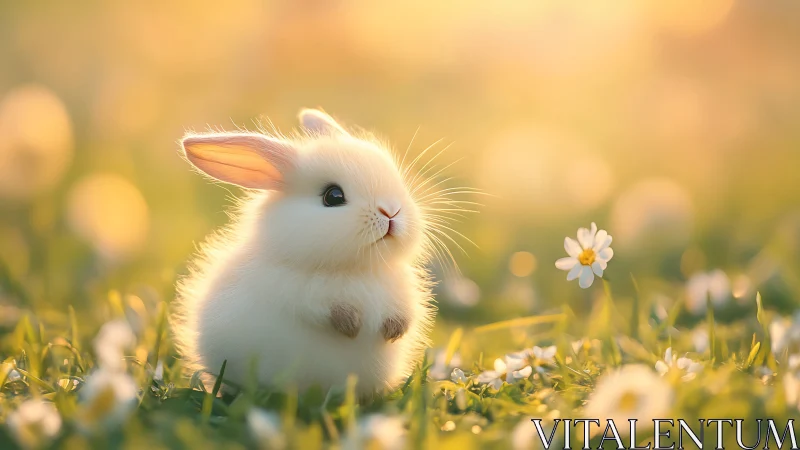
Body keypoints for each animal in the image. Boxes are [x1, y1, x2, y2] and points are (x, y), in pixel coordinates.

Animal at [172, 109, 459, 396]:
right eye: (333, 196)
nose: (391, 212)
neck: (357, 268)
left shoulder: (403, 292)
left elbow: (405, 314)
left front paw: (393, 331)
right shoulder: (301, 292)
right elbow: (323, 309)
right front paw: (351, 326)